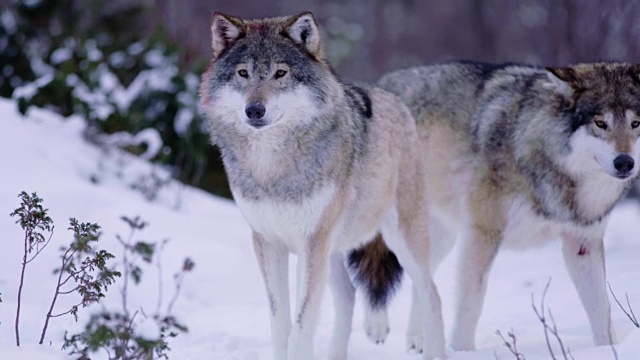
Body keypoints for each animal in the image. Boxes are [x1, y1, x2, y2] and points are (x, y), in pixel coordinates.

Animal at [199, 11, 444, 360]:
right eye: (243, 73)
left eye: (281, 73)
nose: (254, 110)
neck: (273, 168)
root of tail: (393, 97)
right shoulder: (268, 242)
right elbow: (281, 323)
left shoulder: (311, 242)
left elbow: (302, 326)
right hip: (335, 250)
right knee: (349, 295)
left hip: (400, 240)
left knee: (431, 295)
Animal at [350, 61, 640, 352]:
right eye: (601, 123)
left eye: (636, 123)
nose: (625, 163)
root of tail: (380, 84)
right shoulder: (483, 233)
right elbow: (471, 304)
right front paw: (461, 351)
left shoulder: (583, 244)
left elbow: (602, 311)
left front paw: (607, 350)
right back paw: (377, 328)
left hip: (435, 236)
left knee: (422, 280)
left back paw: (418, 342)